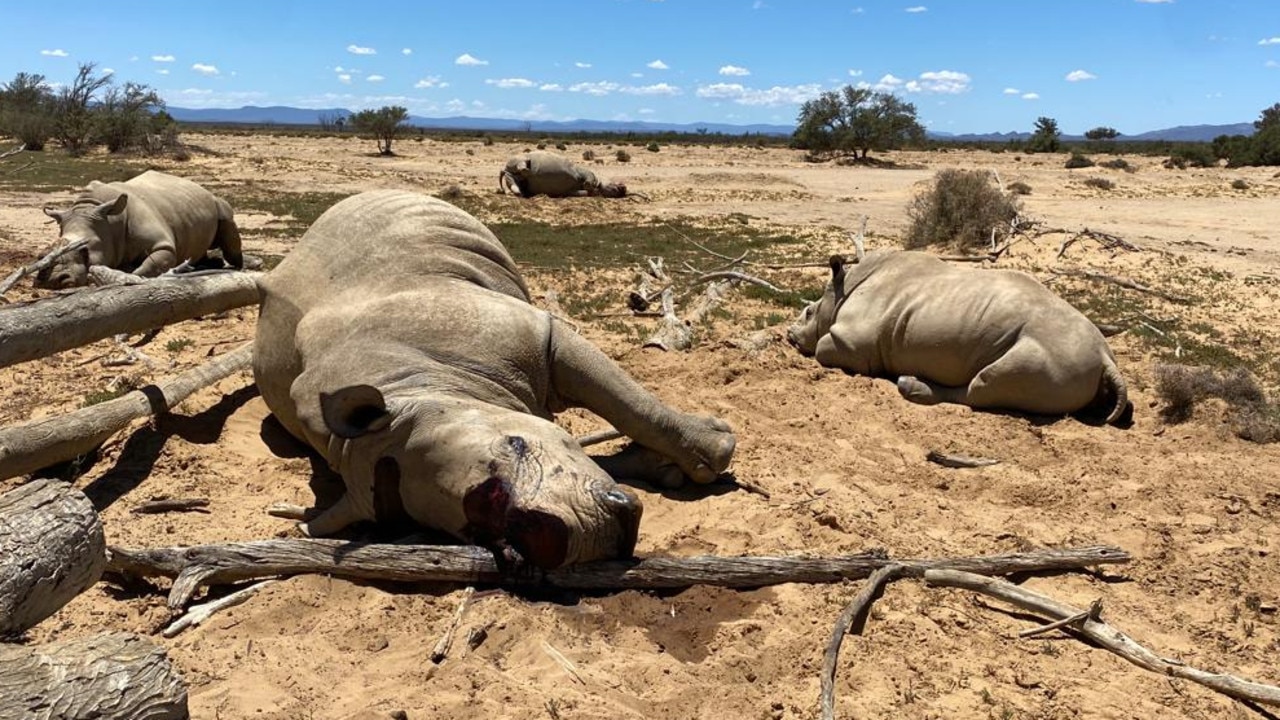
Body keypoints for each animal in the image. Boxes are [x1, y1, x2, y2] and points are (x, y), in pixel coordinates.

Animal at [38, 169, 241, 286]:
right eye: (42, 255)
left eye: (85, 250)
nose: (54, 280)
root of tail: (199, 186)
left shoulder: (163, 245)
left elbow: (147, 268)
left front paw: (127, 276)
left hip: (216, 201)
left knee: (227, 220)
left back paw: (234, 267)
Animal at [254, 189, 737, 566]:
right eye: (469, 533)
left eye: (515, 444)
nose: (571, 541)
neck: (422, 383)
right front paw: (663, 469)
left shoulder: (536, 334)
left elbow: (627, 401)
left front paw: (716, 451)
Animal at [496, 149, 627, 196]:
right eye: (616, 183)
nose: (624, 188)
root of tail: (506, 168)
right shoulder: (585, 172)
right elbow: (587, 178)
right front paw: (589, 184)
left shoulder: (572, 191)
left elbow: (584, 192)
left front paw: (590, 189)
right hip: (518, 159)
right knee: (521, 163)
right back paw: (527, 170)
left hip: (513, 175)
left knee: (513, 179)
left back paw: (520, 190)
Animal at [788, 251, 1131, 422]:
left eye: (808, 312)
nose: (790, 335)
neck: (841, 293)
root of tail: (1105, 357)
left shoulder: (854, 342)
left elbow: (823, 348)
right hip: (1071, 360)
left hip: (1055, 356)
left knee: (984, 383)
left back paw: (908, 386)